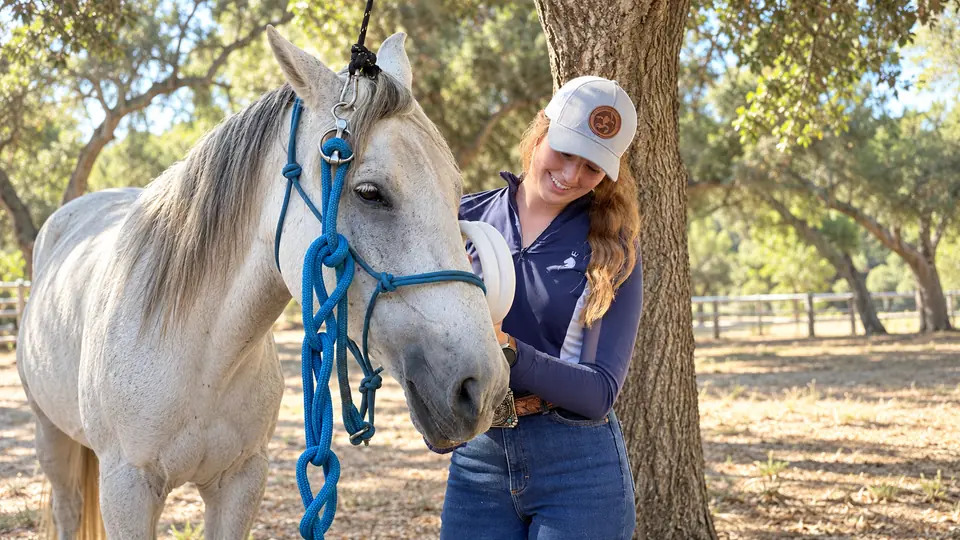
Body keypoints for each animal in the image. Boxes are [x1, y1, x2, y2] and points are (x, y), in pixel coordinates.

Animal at [16, 27, 510, 539]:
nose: (485, 386)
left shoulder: (242, 481)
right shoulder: (126, 489)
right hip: (50, 438)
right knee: (68, 507)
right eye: (369, 192)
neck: (201, 358)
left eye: (455, 191)